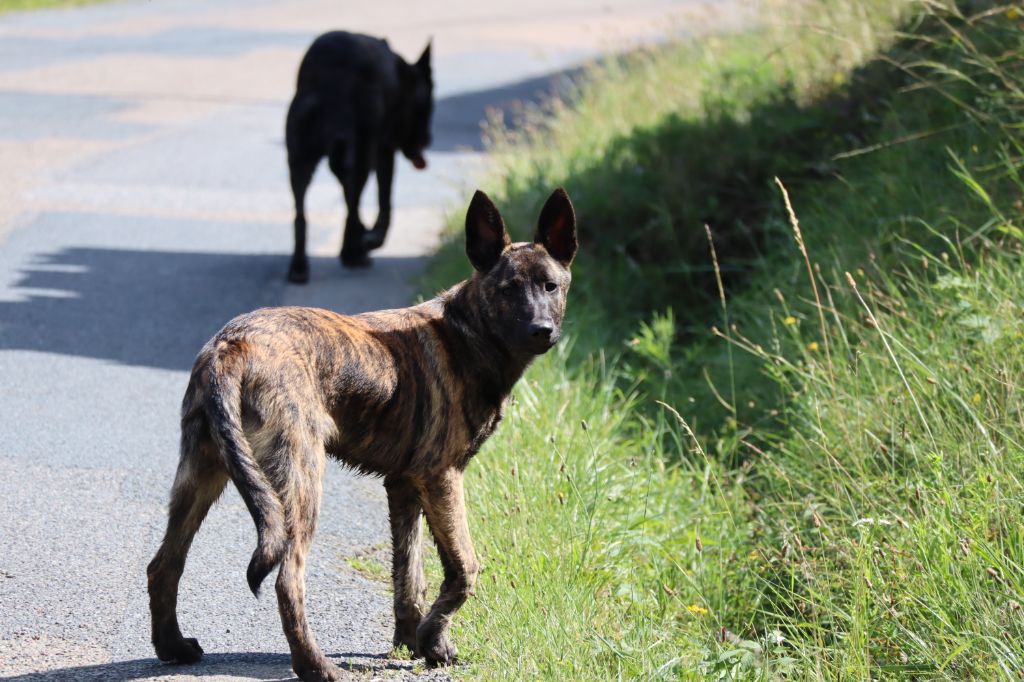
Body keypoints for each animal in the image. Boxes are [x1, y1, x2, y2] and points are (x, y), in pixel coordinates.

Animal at [146, 187, 577, 679]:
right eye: (508, 290)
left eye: (550, 286)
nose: (541, 330)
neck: (469, 333)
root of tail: (232, 345)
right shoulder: (443, 479)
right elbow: (464, 568)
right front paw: (433, 641)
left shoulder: (405, 487)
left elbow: (410, 576)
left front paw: (417, 641)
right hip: (300, 482)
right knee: (287, 579)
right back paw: (315, 666)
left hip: (202, 475)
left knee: (164, 564)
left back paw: (173, 646)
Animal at [284, 31, 432, 280]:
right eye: (426, 108)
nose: (428, 139)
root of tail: (331, 81)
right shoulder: (383, 150)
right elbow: (384, 202)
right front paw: (369, 240)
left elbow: (348, 194)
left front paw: (359, 240)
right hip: (363, 149)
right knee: (352, 208)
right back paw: (354, 253)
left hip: (300, 157)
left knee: (301, 214)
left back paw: (299, 266)